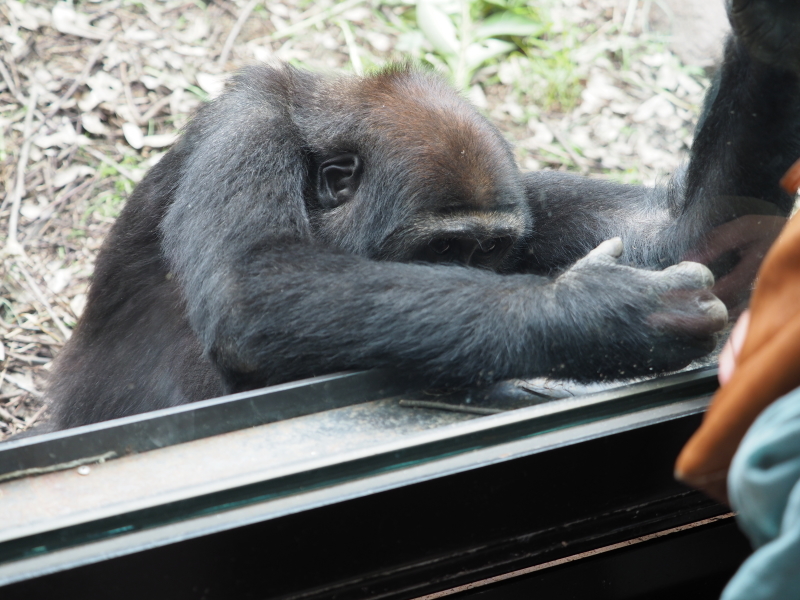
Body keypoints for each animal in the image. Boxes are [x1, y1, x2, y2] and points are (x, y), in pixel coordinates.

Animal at [45, 0, 800, 432]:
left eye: (487, 255)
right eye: (441, 253)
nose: (478, 274)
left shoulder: (518, 190)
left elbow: (688, 236)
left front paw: (773, 35)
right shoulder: (244, 132)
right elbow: (248, 286)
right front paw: (596, 314)